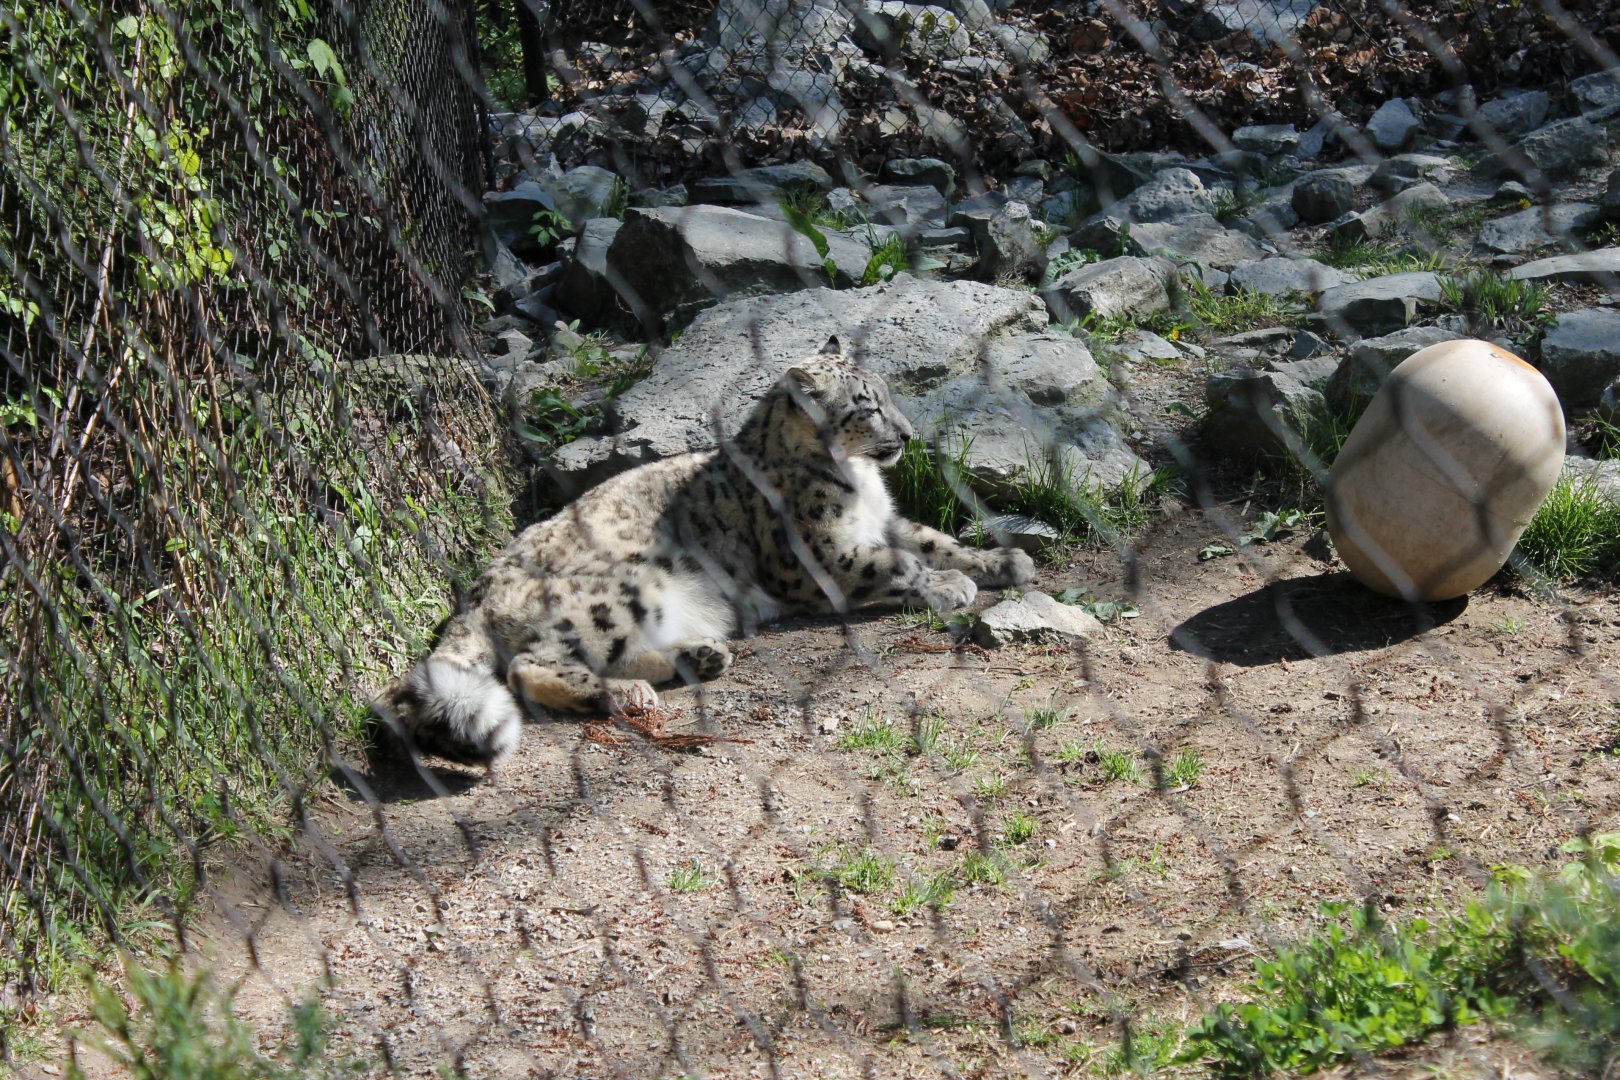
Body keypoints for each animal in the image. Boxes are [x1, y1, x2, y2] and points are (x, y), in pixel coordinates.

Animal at [372, 337, 1035, 770]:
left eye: (889, 395)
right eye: (865, 406)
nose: (906, 434)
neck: (860, 482)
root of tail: (474, 596)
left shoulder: (885, 521)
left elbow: (932, 540)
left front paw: (1001, 562)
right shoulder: (824, 556)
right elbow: (900, 564)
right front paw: (949, 585)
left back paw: (698, 658)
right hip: (614, 592)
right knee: (528, 667)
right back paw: (623, 692)